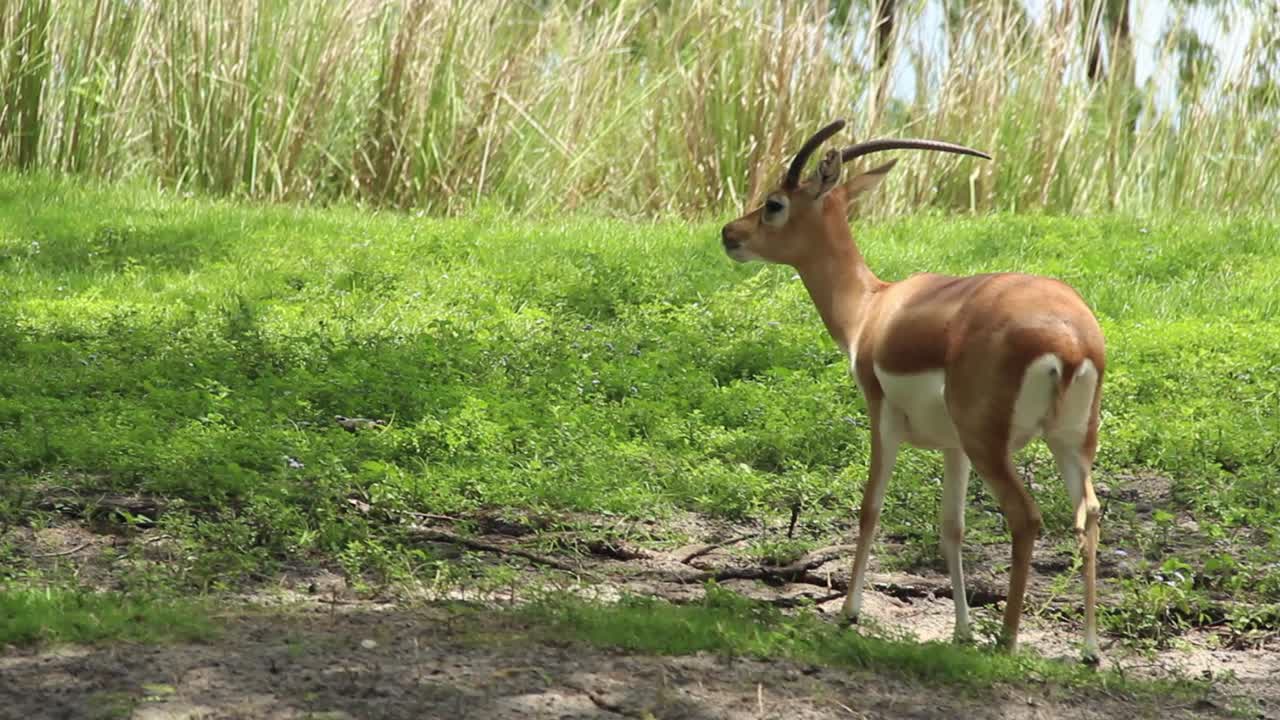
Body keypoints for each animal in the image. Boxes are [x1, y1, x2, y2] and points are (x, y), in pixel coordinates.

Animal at [720, 120, 1105, 663]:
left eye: (774, 203)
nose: (730, 234)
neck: (873, 308)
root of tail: (1070, 339)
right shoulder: (952, 446)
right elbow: (952, 529)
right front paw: (960, 630)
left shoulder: (882, 414)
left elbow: (870, 508)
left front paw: (848, 613)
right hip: (1067, 441)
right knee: (1088, 514)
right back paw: (1090, 649)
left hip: (991, 444)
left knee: (1026, 517)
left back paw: (1006, 640)